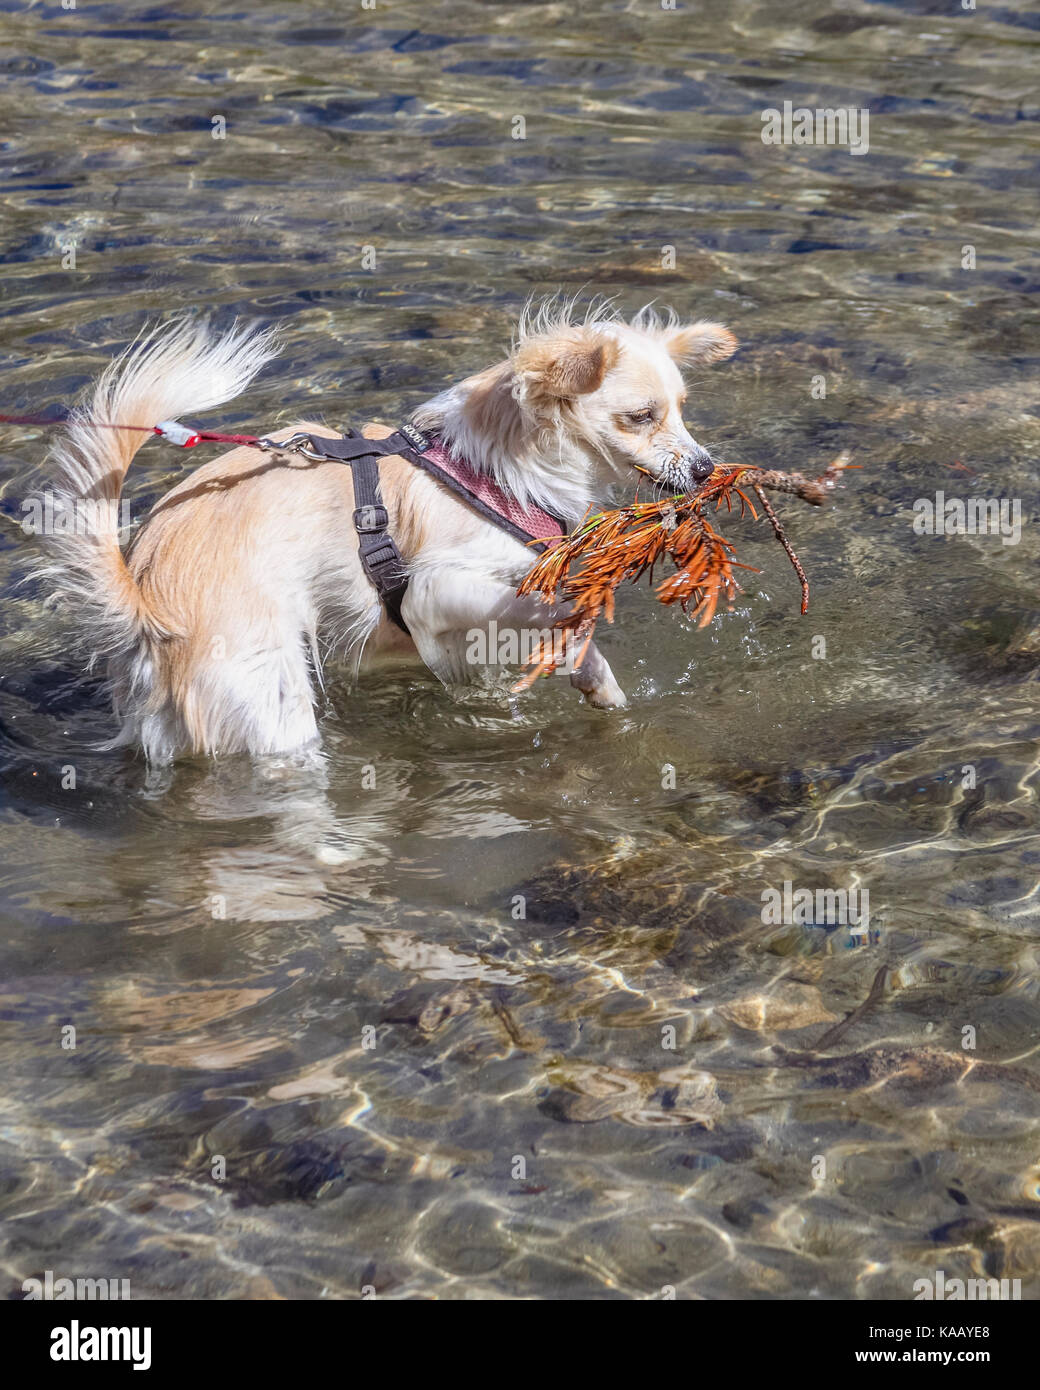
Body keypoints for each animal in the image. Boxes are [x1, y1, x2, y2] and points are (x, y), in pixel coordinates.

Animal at [42, 301, 739, 761]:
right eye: (641, 417)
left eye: (682, 410)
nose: (707, 469)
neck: (502, 474)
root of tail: (145, 598)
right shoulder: (433, 591)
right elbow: (540, 607)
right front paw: (575, 623)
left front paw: (597, 683)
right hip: (269, 699)